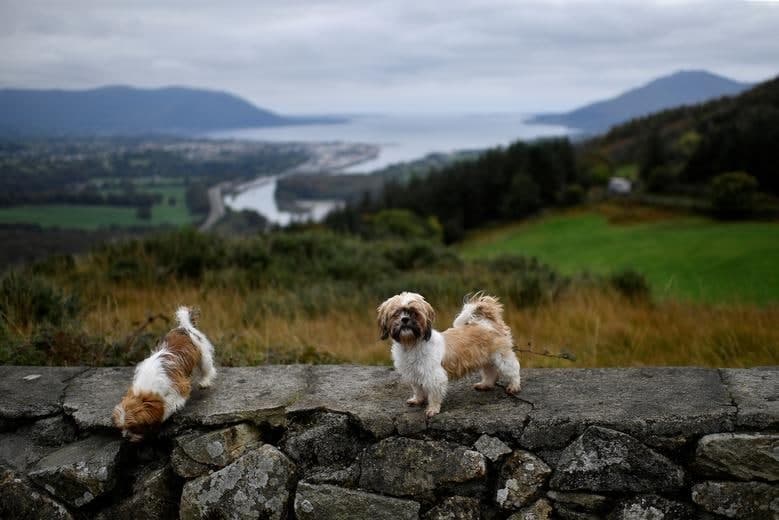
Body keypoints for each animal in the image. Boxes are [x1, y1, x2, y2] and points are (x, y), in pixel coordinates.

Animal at [112, 304, 216, 442]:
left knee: (208, 369)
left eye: (134, 427)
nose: (126, 436)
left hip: (203, 356)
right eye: (121, 428)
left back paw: (204, 381)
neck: (147, 384)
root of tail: (185, 326)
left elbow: (171, 403)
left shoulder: (180, 386)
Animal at [376, 292, 516, 418]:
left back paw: (514, 386)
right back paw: (485, 384)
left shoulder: (434, 376)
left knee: (513, 369)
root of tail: (487, 323)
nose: (405, 319)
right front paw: (417, 400)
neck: (411, 344)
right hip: (486, 360)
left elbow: (434, 394)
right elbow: (418, 389)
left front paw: (432, 409)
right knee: (490, 372)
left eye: (414, 313)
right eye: (396, 314)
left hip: (501, 357)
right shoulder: (413, 373)